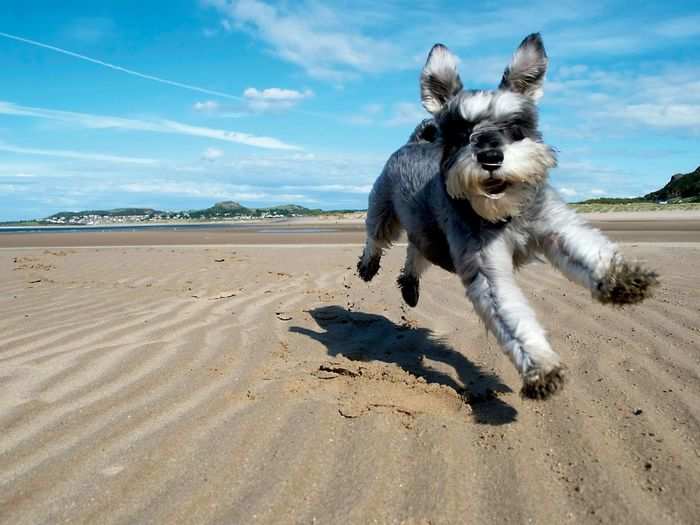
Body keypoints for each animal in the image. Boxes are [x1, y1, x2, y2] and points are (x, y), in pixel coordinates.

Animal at [358, 32, 660, 400]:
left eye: (515, 126)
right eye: (462, 133)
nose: (490, 157)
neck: (507, 212)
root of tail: (414, 141)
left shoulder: (554, 226)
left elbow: (587, 251)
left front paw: (622, 279)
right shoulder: (486, 267)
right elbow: (511, 314)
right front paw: (540, 366)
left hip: (423, 229)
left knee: (416, 251)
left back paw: (410, 286)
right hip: (384, 210)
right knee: (376, 237)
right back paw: (368, 265)